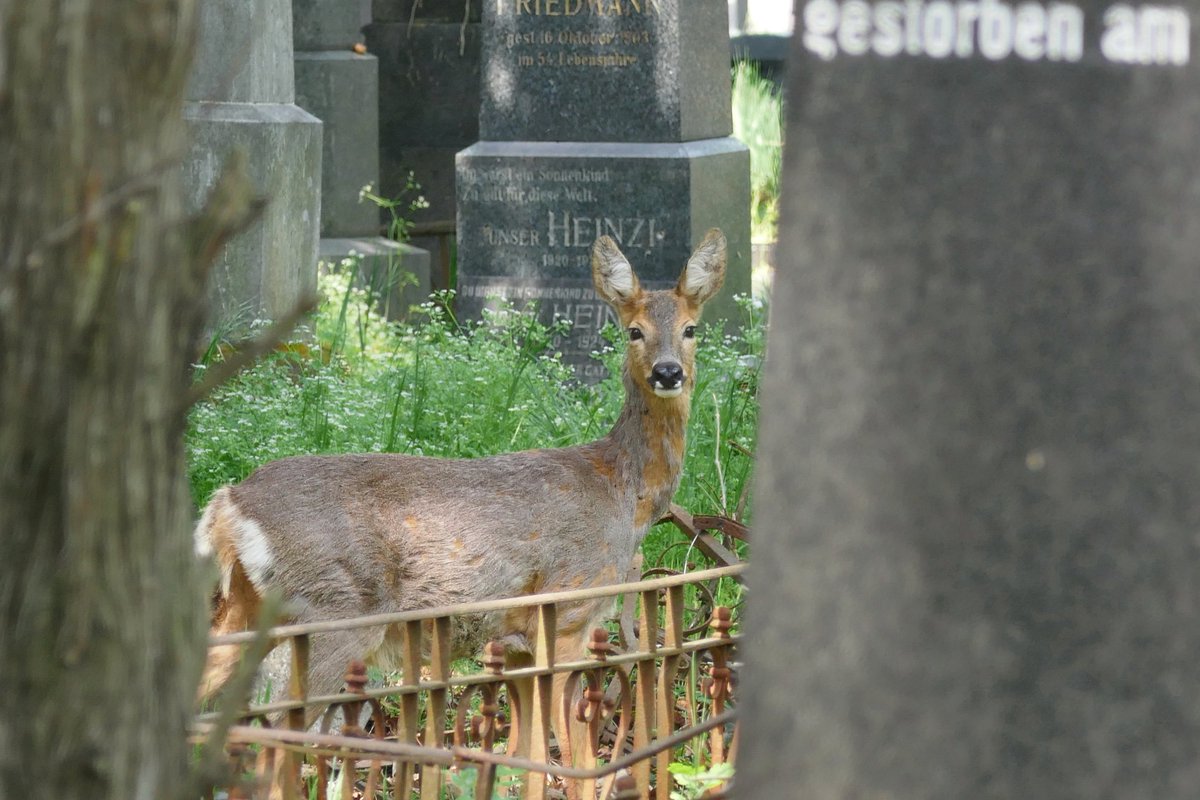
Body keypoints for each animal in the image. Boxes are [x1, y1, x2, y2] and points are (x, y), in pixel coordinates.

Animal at [194, 228, 727, 759]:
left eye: (690, 329)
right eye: (634, 330)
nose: (667, 372)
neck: (623, 494)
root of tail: (227, 504)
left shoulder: (516, 639)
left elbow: (527, 754)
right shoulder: (569, 608)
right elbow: (573, 750)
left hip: (242, 609)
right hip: (335, 612)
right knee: (269, 727)